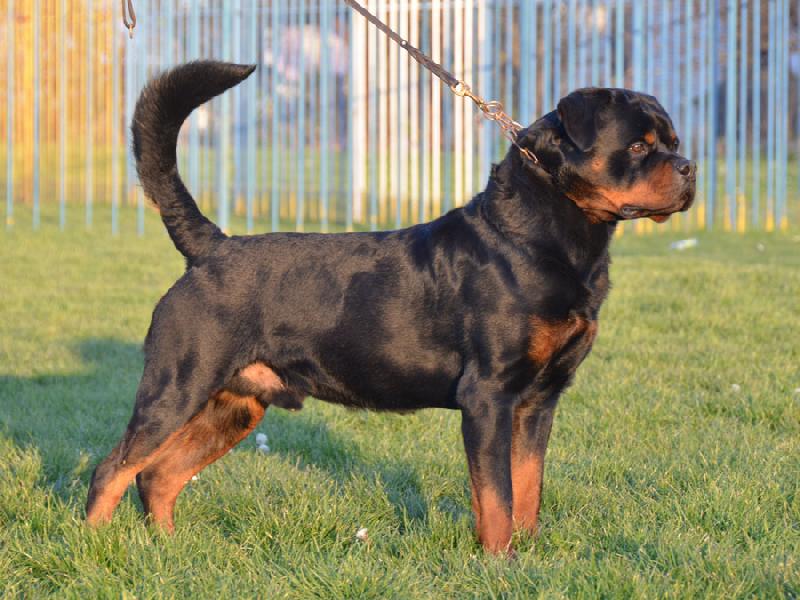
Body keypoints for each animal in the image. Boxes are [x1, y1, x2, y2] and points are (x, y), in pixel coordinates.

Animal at [86, 61, 695, 554]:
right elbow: (496, 498)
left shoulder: (538, 401)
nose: (689, 167)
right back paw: (92, 548)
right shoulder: (489, 396)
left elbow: (527, 491)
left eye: (671, 140)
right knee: (112, 470)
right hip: (177, 387)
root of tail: (212, 247)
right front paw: (499, 564)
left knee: (157, 477)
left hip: (236, 404)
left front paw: (528, 559)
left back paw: (165, 549)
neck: (546, 237)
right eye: (638, 147)